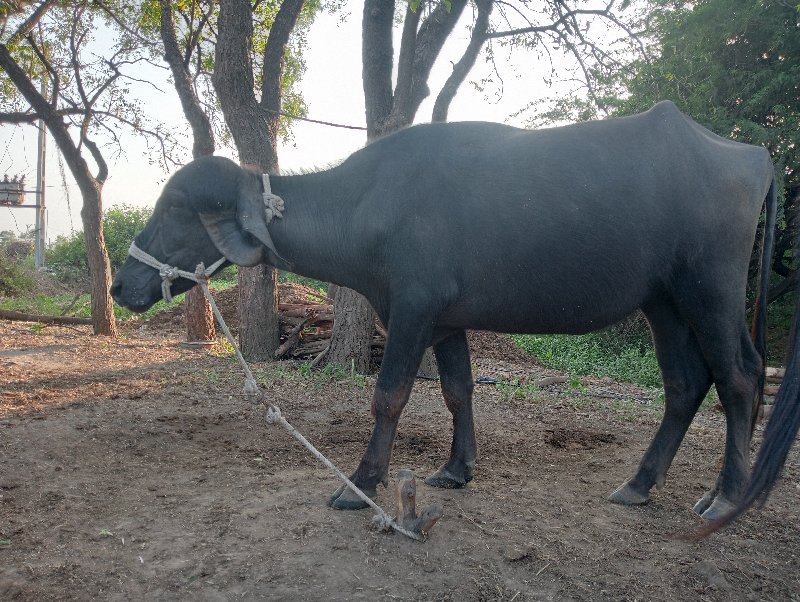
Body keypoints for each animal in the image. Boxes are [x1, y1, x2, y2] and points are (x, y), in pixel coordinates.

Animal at [109, 101, 796, 524]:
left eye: (176, 208)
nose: (122, 285)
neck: (368, 205)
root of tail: (752, 156)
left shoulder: (412, 309)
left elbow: (389, 394)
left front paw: (361, 483)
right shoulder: (446, 321)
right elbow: (458, 390)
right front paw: (456, 469)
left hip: (710, 287)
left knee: (739, 376)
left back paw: (725, 497)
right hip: (664, 301)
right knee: (685, 383)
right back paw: (640, 484)